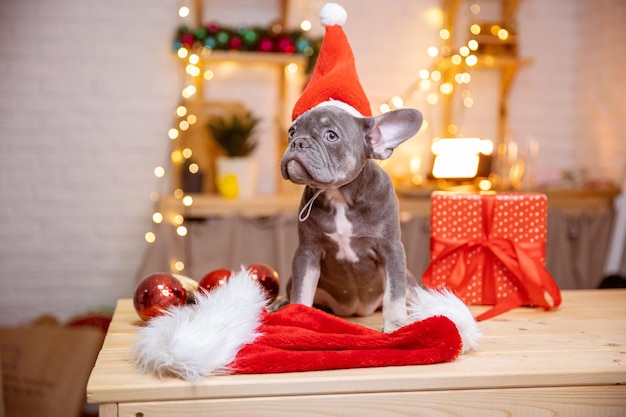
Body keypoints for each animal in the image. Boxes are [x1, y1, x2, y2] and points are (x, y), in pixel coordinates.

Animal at [280, 102, 422, 330]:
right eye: (291, 132)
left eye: (331, 136)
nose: (298, 142)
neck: (340, 196)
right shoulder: (307, 253)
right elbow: (301, 290)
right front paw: (296, 315)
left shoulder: (391, 249)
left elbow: (394, 293)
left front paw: (395, 323)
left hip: (409, 280)